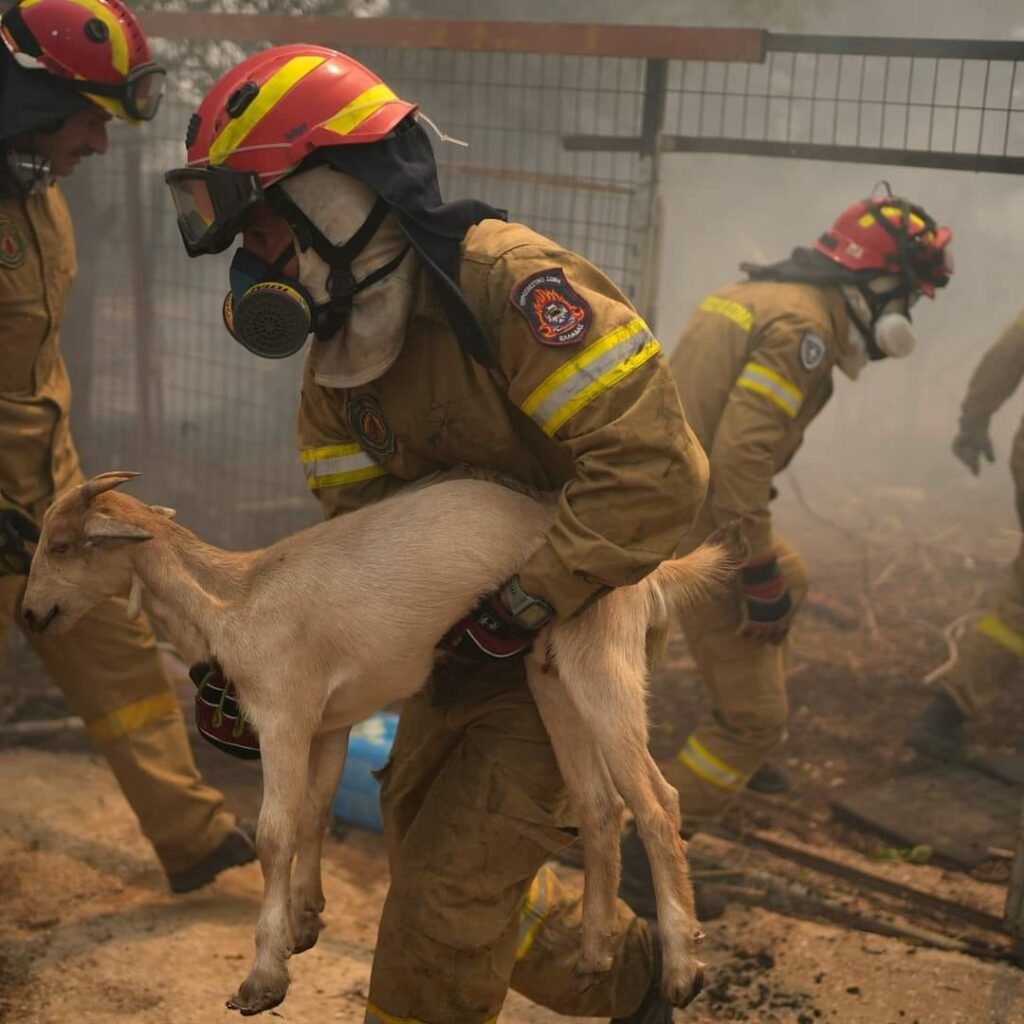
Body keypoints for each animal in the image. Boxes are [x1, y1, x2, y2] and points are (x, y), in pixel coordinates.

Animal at [24, 471, 737, 1015]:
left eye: (60, 545)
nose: (28, 615)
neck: (237, 599)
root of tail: (650, 573)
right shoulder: (330, 723)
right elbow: (313, 816)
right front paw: (305, 921)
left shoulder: (283, 715)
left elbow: (275, 832)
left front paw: (262, 978)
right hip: (552, 676)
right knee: (597, 807)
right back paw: (594, 956)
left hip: (604, 663)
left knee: (656, 802)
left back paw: (681, 971)